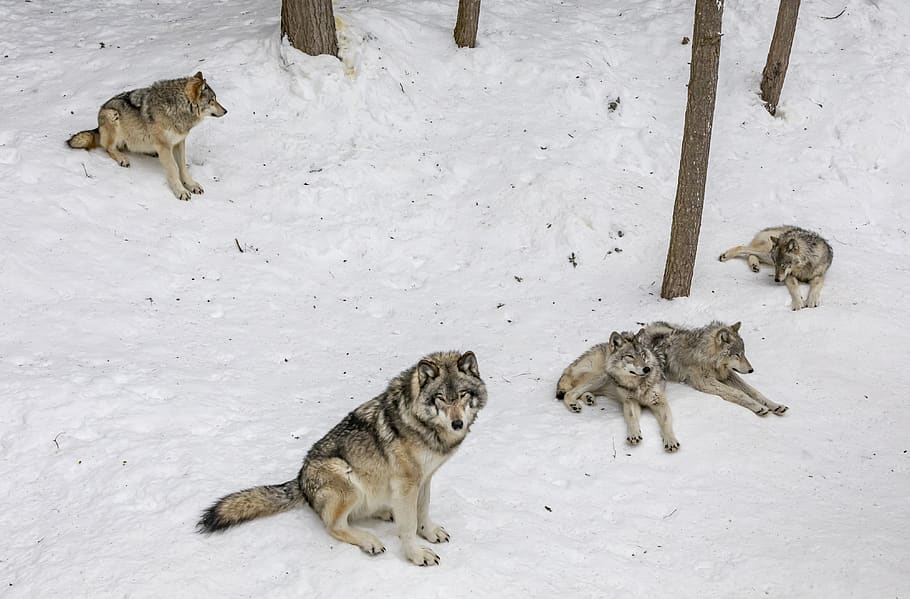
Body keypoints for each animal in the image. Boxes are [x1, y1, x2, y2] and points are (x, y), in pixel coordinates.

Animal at [67, 72, 226, 200]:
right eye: (212, 100)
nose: (226, 111)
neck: (177, 108)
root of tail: (98, 126)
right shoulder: (165, 146)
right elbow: (173, 169)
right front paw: (180, 191)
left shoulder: (179, 142)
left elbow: (183, 168)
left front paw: (192, 185)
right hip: (113, 115)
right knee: (109, 148)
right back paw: (122, 158)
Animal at [198, 351, 486, 567]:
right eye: (441, 398)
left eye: (463, 395)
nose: (458, 424)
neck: (423, 424)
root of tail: (299, 481)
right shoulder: (408, 484)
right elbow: (408, 525)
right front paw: (416, 555)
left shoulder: (424, 479)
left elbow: (422, 511)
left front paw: (429, 533)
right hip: (346, 478)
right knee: (333, 526)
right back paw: (370, 540)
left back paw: (385, 512)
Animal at [645, 321, 787, 416]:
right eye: (737, 355)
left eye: (744, 353)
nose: (751, 370)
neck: (707, 357)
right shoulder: (706, 382)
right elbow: (739, 392)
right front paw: (758, 407)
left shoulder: (727, 374)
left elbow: (753, 391)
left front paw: (775, 405)